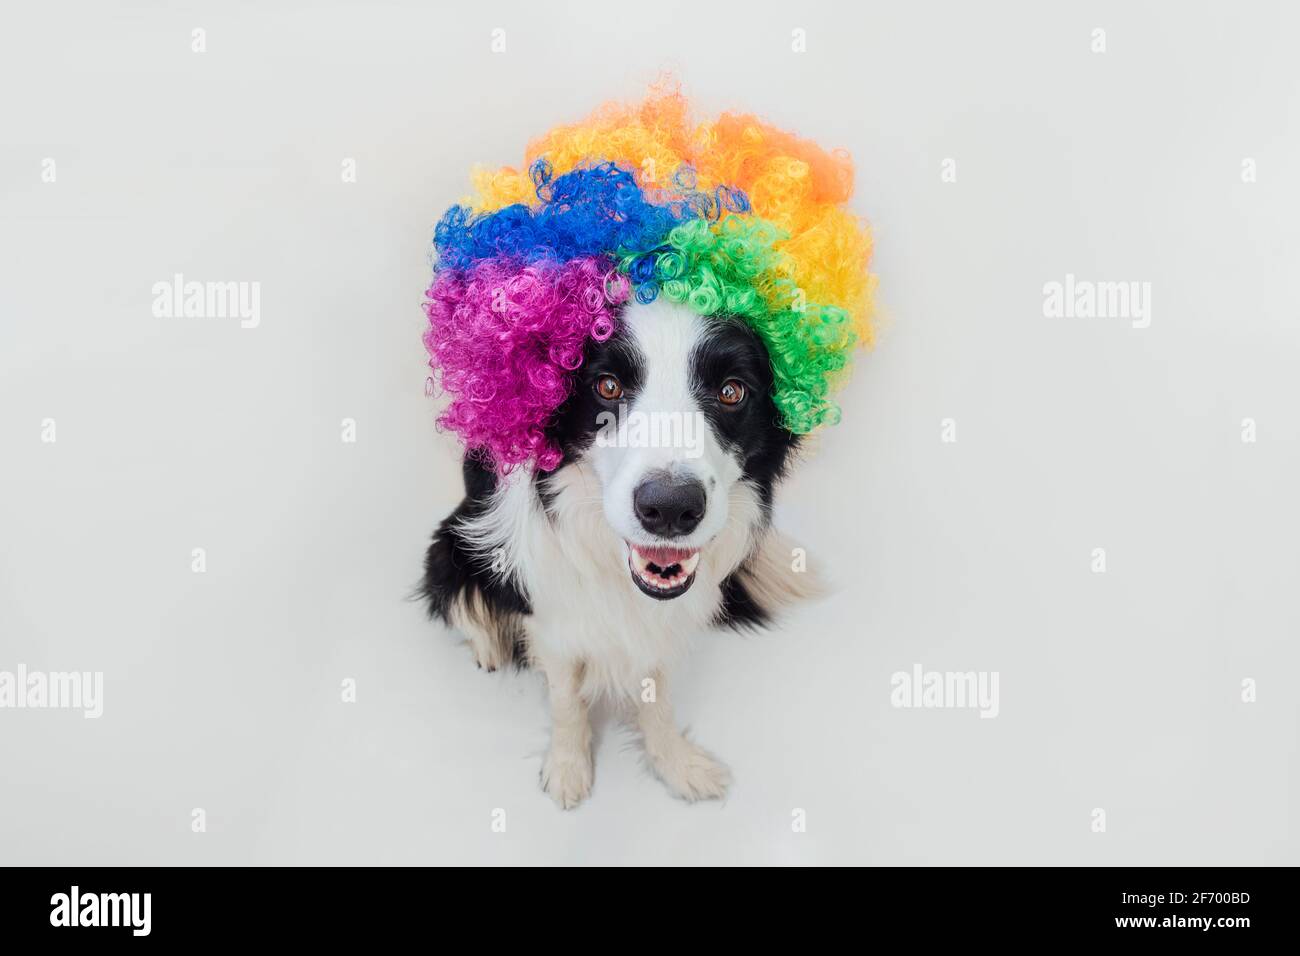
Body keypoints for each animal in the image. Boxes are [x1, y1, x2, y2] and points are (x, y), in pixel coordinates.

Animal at [421, 299, 816, 806]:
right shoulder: (551, 618)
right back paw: (489, 644)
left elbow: (659, 699)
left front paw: (676, 765)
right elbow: (566, 699)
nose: (669, 508)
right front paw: (567, 769)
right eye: (608, 386)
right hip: (449, 549)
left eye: (731, 391)